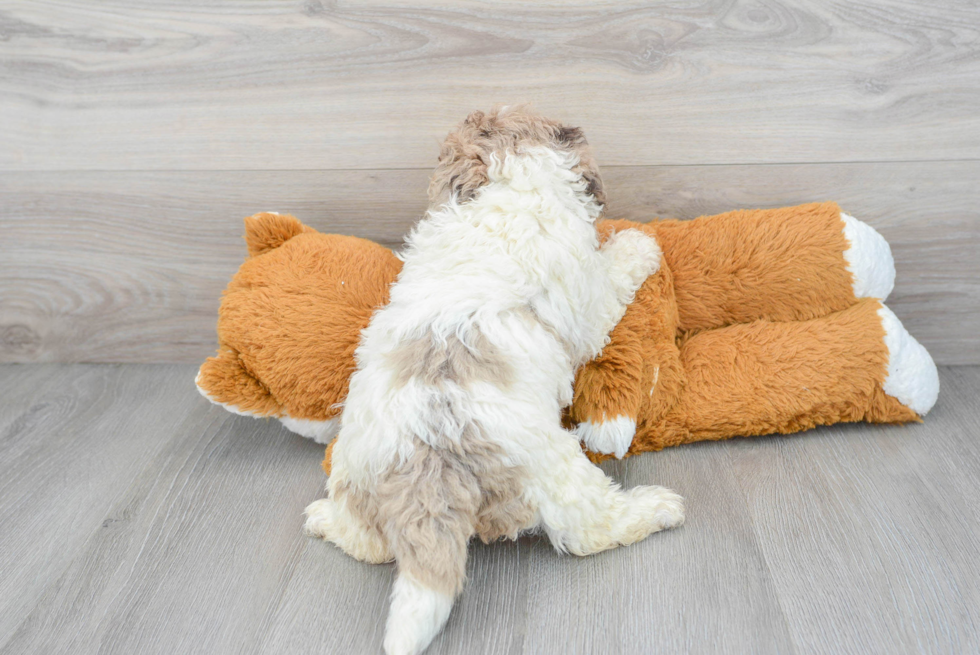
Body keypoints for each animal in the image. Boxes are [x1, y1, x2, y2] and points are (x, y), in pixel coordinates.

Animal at [304, 107, 680, 655]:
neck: (508, 184)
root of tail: (426, 462)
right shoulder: (587, 295)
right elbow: (612, 276)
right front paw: (638, 243)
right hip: (553, 472)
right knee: (591, 529)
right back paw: (657, 508)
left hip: (357, 472)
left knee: (371, 544)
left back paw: (322, 519)